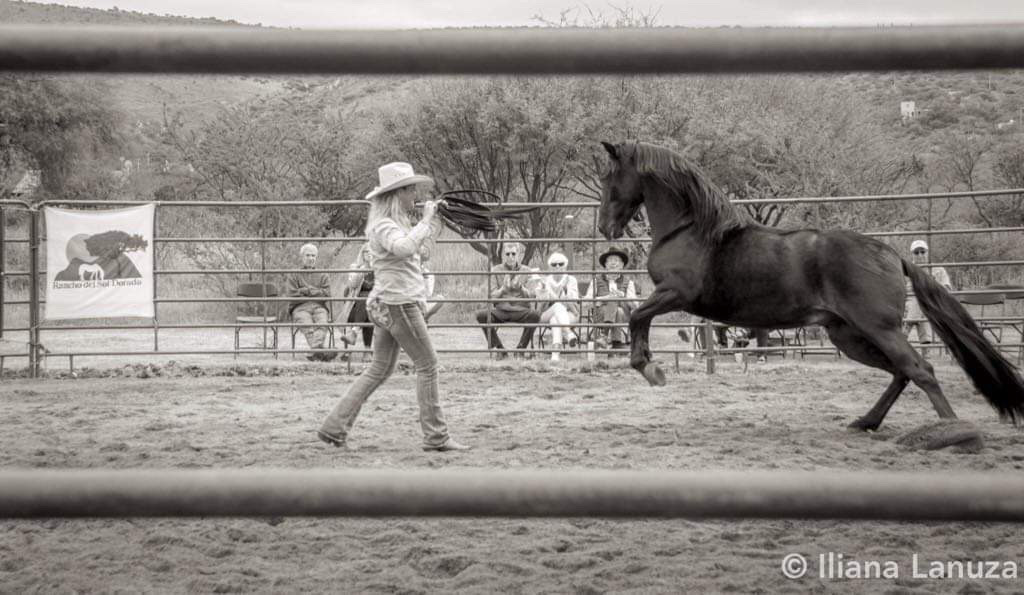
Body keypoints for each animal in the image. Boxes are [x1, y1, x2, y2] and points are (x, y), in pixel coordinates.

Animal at [593, 140, 1024, 426]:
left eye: (609, 176)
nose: (605, 227)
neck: (693, 229)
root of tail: (890, 253)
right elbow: (640, 319)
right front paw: (651, 366)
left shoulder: (674, 293)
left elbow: (636, 318)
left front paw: (650, 368)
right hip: (847, 336)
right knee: (902, 372)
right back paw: (866, 422)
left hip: (877, 329)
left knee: (921, 370)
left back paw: (951, 430)